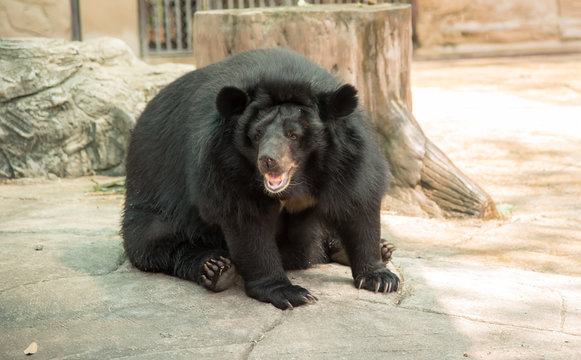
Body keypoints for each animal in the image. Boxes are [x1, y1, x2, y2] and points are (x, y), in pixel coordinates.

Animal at [122, 48, 398, 310]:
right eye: (257, 134)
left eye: (293, 135)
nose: (267, 160)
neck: (296, 183)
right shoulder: (222, 161)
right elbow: (246, 219)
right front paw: (289, 293)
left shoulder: (348, 157)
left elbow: (357, 203)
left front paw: (380, 278)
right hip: (154, 203)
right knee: (153, 241)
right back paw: (216, 269)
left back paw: (376, 248)